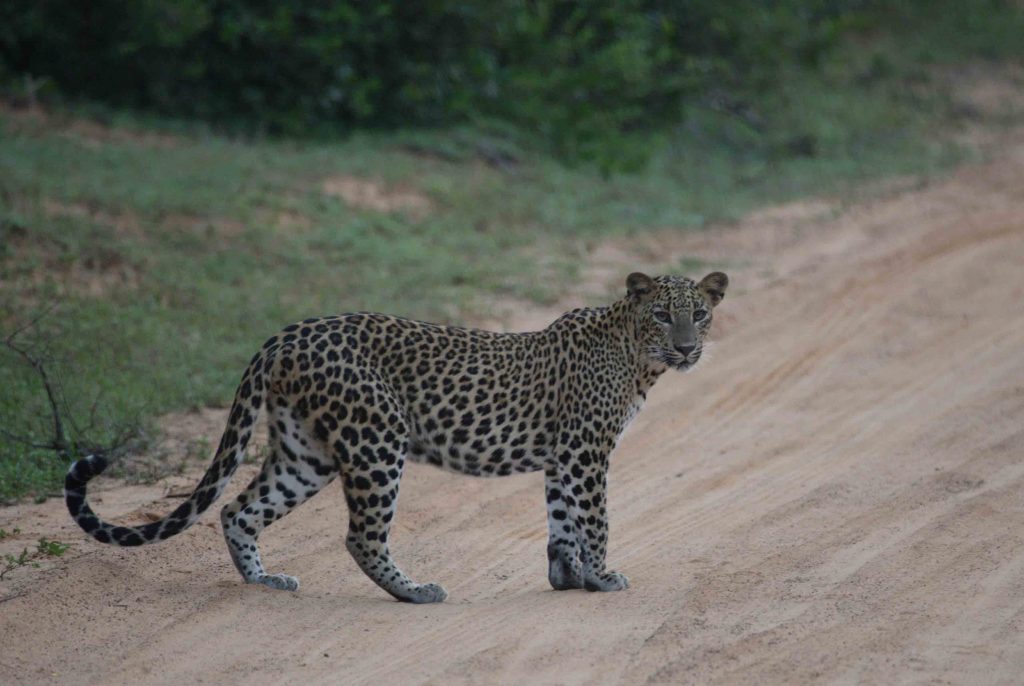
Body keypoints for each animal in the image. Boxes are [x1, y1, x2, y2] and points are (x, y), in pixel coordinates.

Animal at [64, 272, 729, 606]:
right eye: (664, 314)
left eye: (700, 314)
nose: (688, 348)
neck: (637, 354)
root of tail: (284, 335)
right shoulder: (586, 450)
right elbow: (594, 518)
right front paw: (603, 576)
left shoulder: (564, 456)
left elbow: (562, 518)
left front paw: (571, 578)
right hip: (376, 437)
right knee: (360, 535)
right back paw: (414, 591)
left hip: (304, 454)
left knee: (237, 509)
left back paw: (265, 581)